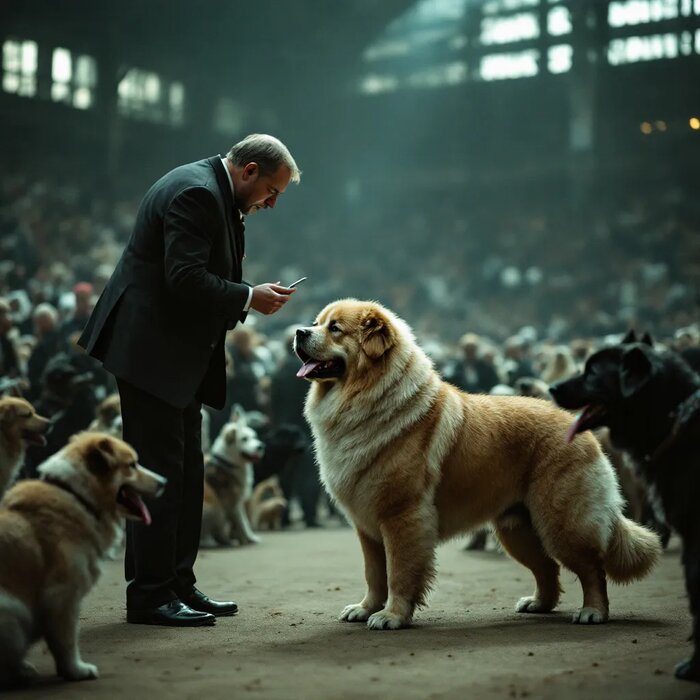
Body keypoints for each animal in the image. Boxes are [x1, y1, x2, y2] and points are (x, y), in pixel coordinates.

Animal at [0, 430, 165, 688]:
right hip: (12, 613)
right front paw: (76, 670)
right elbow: (66, 641)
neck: (77, 496)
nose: (164, 482)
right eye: (132, 465)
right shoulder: (62, 594)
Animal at [202, 408, 268, 548]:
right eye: (244, 439)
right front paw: (249, 538)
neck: (228, 463)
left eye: (254, 436)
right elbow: (243, 523)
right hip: (213, 507)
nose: (261, 446)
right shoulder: (232, 503)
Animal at [296, 300, 660, 628]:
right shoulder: (368, 526)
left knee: (591, 569)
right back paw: (538, 604)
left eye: (335, 329)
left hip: (562, 523)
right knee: (548, 569)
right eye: (317, 323)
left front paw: (391, 616)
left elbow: (399, 573)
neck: (364, 398)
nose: (299, 332)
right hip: (516, 530)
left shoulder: (402, 517)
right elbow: (374, 575)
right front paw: (365, 609)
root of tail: (577, 426)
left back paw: (593, 612)